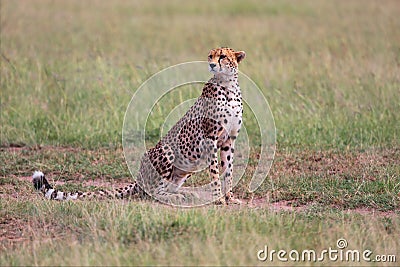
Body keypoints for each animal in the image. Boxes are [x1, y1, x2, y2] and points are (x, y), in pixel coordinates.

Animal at [32, 47, 245, 206]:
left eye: (222, 56)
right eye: (210, 56)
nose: (211, 64)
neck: (228, 86)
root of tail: (138, 178)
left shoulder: (229, 140)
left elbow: (228, 170)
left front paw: (230, 197)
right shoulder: (210, 138)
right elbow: (215, 172)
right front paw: (219, 198)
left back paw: (185, 193)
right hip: (166, 151)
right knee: (151, 192)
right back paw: (176, 196)